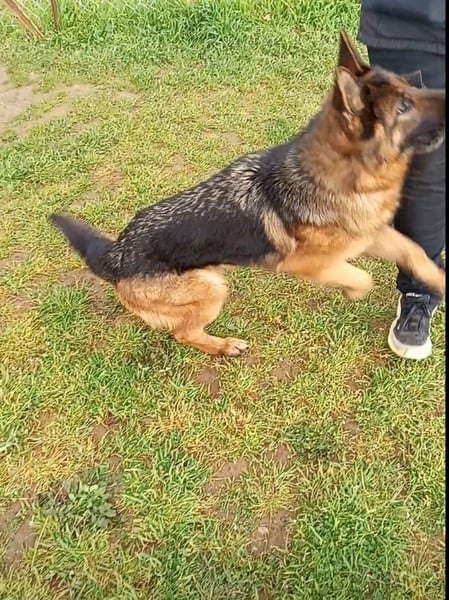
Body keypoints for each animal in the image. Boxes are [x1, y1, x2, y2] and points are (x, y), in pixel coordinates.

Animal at [50, 31, 445, 356]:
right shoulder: (306, 264)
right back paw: (223, 345)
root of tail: (114, 255)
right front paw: (354, 291)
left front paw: (438, 280)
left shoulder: (370, 234)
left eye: (410, 87)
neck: (341, 175)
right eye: (404, 106)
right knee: (184, 333)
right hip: (212, 287)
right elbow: (363, 277)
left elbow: (415, 252)